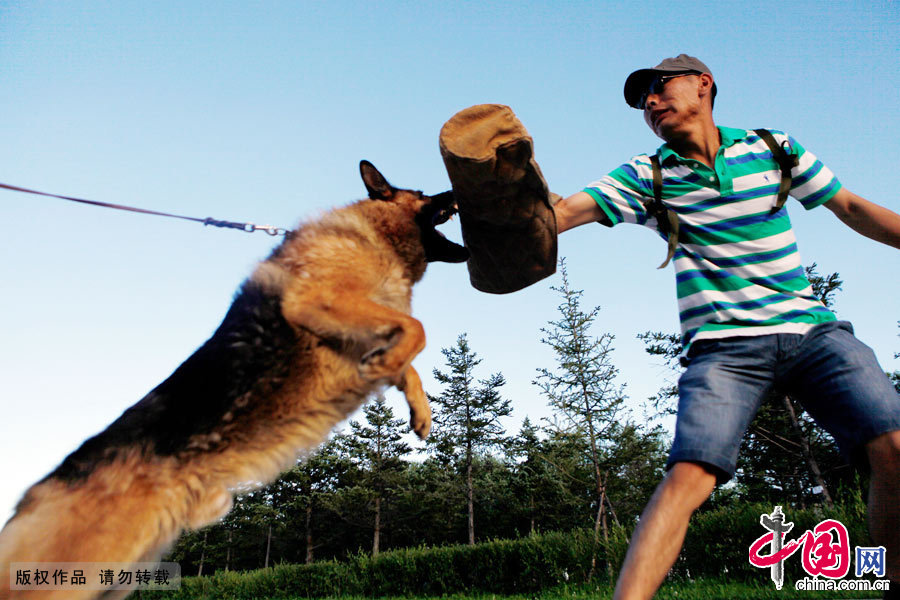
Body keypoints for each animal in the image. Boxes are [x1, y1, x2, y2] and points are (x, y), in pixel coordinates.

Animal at [0, 162, 464, 596]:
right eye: (423, 193)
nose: (456, 189)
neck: (375, 234)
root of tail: (40, 490)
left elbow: (409, 353)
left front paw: (418, 408)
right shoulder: (320, 301)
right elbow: (417, 328)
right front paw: (386, 370)